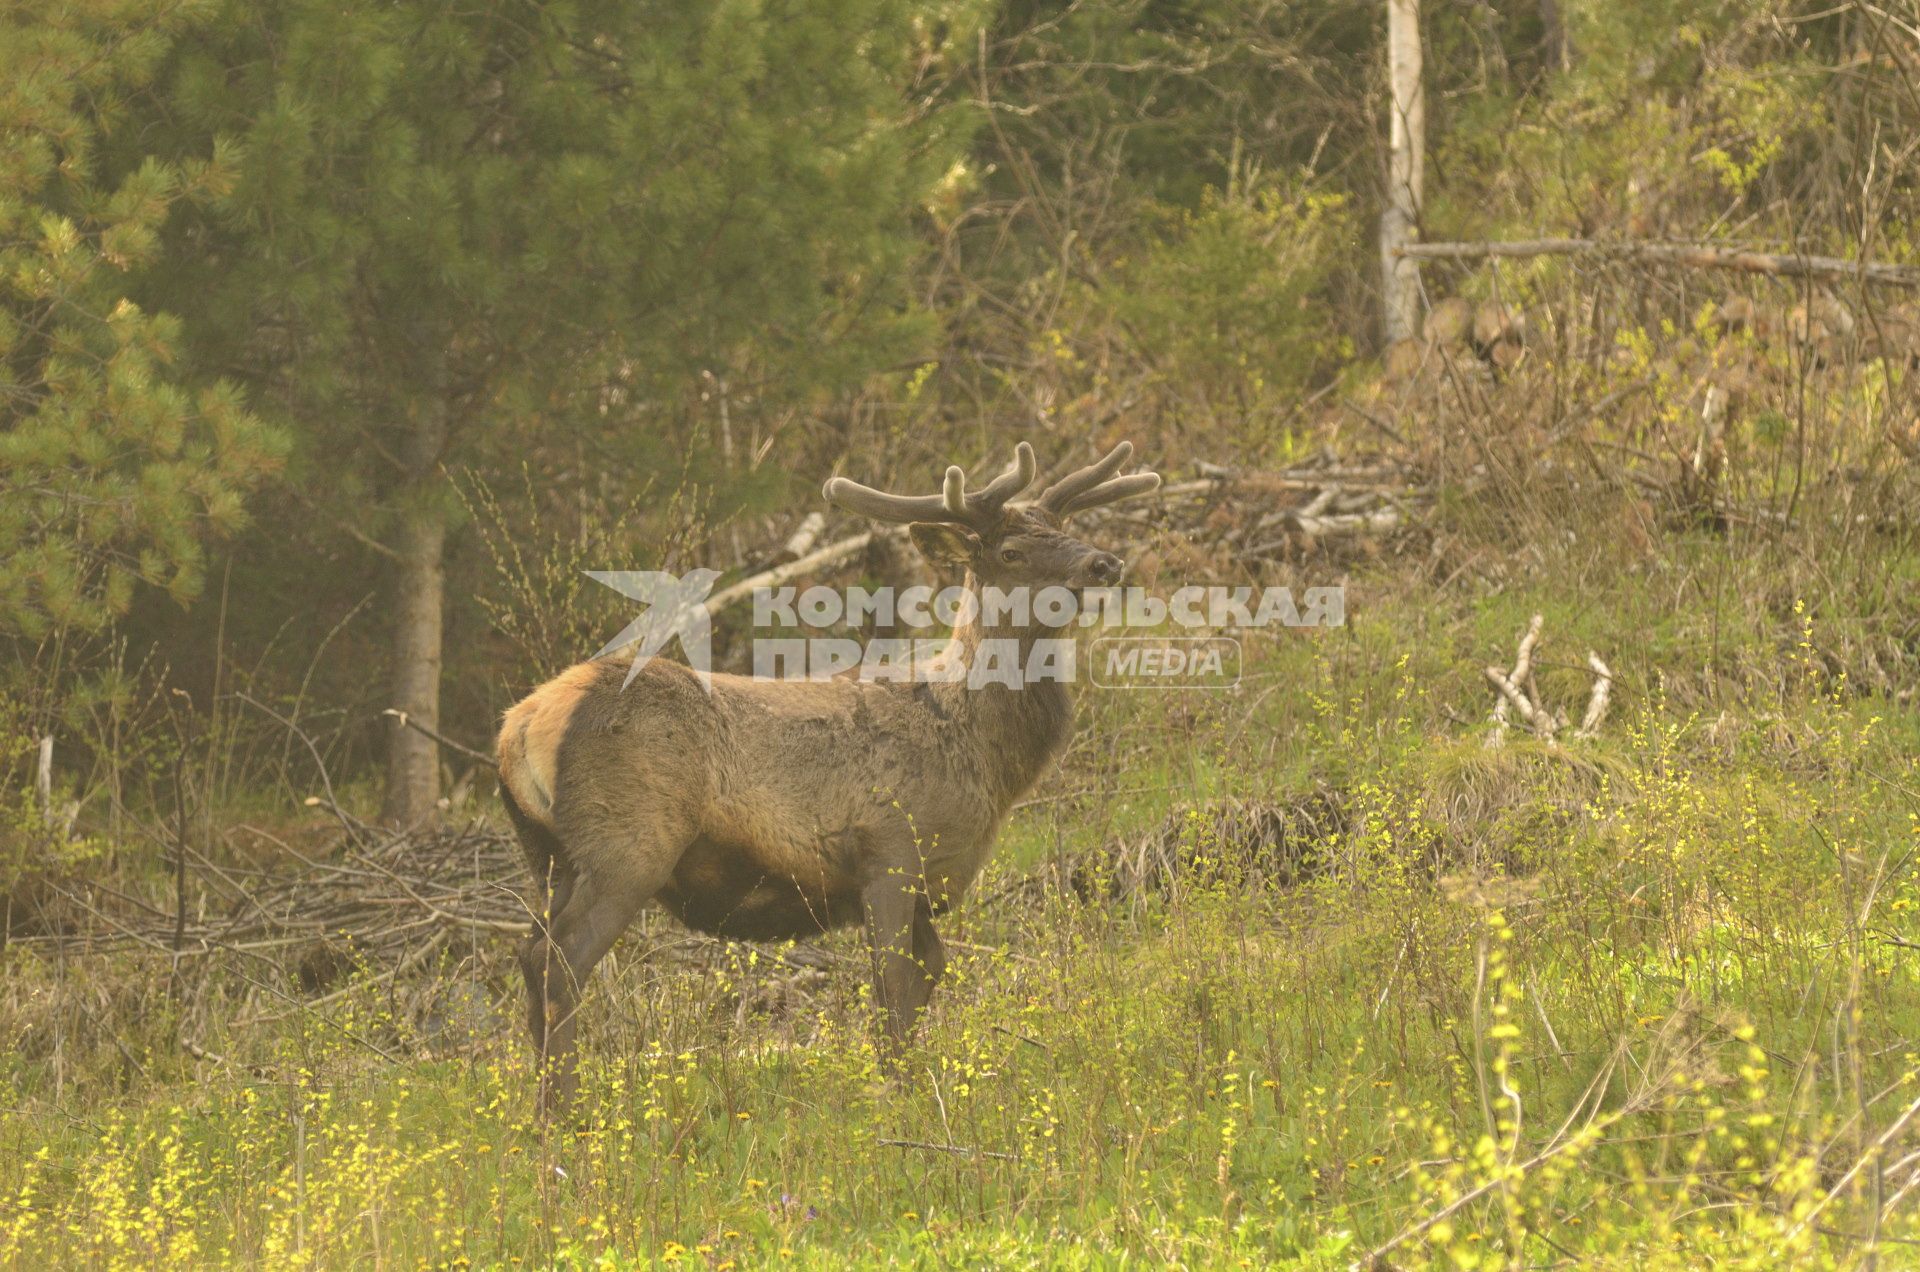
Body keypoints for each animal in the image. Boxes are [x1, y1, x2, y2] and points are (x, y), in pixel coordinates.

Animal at [495, 441, 1152, 1114]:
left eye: (1063, 529)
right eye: (1011, 551)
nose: (1104, 562)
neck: (983, 759)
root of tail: (518, 726)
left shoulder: (920, 881)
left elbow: (928, 975)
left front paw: (911, 1084)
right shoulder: (888, 852)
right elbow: (890, 988)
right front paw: (895, 1097)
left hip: (549, 857)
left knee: (529, 953)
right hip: (629, 845)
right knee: (562, 959)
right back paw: (566, 1114)